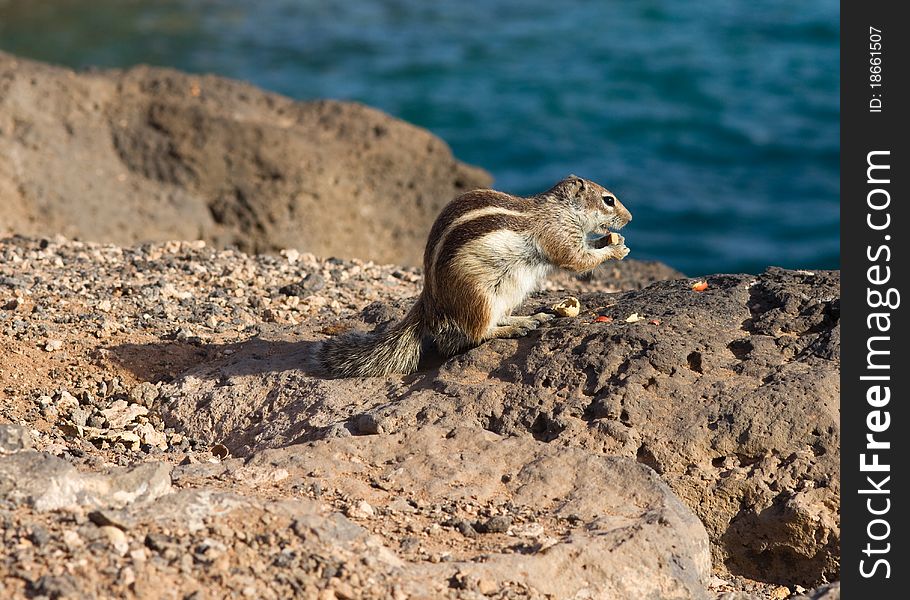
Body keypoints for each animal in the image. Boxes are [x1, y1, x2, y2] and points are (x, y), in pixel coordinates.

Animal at [320, 176, 636, 378]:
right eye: (608, 200)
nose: (631, 219)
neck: (559, 209)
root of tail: (430, 301)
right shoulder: (557, 235)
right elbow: (576, 260)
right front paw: (616, 249)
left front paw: (610, 240)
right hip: (479, 297)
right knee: (476, 333)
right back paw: (514, 328)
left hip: (510, 292)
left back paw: (529, 317)